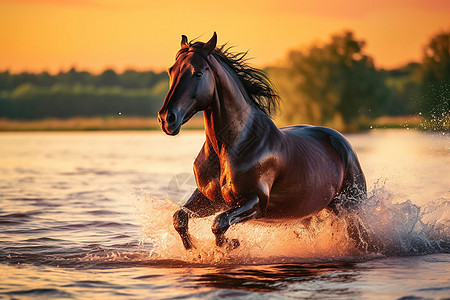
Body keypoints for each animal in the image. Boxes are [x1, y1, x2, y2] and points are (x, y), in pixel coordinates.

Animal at [156, 31, 368, 250]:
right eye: (171, 71)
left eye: (197, 73)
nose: (167, 119)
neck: (232, 145)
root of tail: (342, 142)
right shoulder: (209, 199)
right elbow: (180, 217)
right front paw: (194, 249)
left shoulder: (256, 201)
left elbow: (219, 223)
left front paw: (232, 244)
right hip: (311, 213)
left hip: (351, 206)